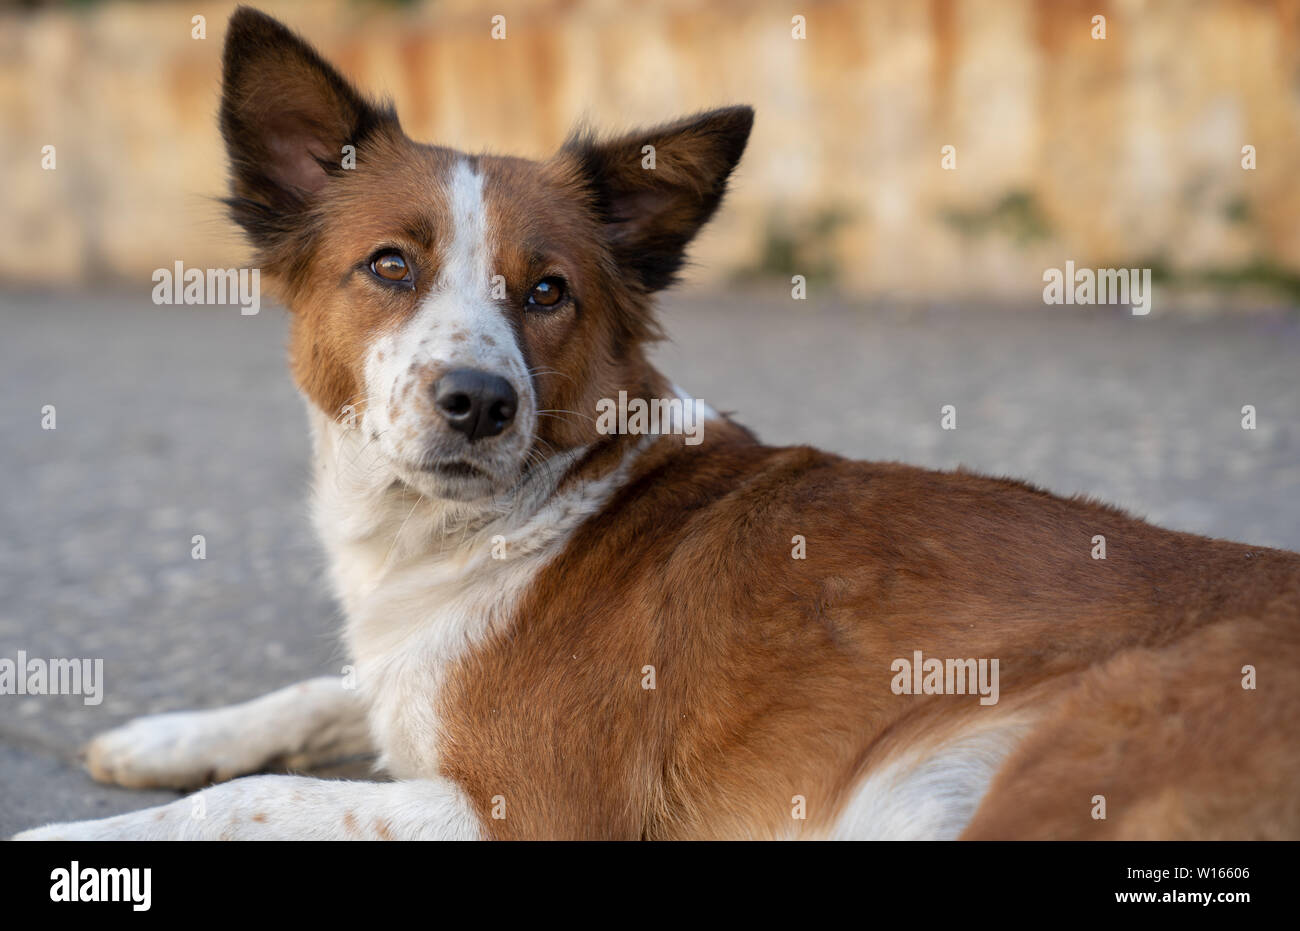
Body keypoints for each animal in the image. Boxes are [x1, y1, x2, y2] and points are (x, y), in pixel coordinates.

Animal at [12, 7, 1300, 842]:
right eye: (388, 265)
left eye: (547, 292)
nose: (478, 401)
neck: (489, 527)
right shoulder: (406, 677)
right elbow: (319, 692)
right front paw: (167, 735)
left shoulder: (526, 812)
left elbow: (251, 803)